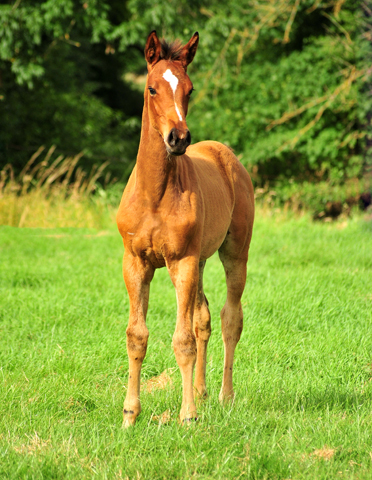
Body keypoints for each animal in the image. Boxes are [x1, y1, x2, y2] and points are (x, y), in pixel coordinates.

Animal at [117, 31, 256, 426]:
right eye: (152, 88)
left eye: (190, 89)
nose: (178, 138)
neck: (155, 195)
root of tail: (225, 154)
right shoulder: (135, 263)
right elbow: (137, 336)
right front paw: (129, 415)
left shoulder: (182, 262)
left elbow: (182, 341)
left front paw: (188, 417)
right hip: (202, 261)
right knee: (203, 317)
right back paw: (202, 390)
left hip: (232, 254)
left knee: (229, 318)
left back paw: (224, 396)